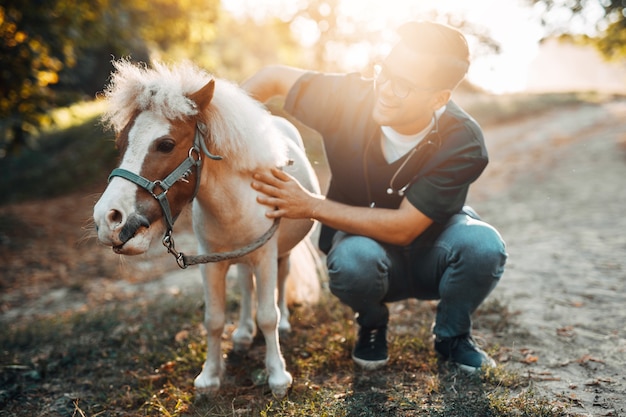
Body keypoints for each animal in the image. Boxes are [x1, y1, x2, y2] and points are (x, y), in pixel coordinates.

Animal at [92, 59, 322, 396]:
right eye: (121, 144)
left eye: (166, 144)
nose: (108, 219)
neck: (236, 203)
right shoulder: (210, 262)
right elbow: (213, 319)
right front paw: (210, 377)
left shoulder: (265, 255)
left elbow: (268, 314)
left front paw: (278, 377)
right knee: (246, 285)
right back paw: (243, 334)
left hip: (279, 254)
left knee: (281, 280)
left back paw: (283, 325)